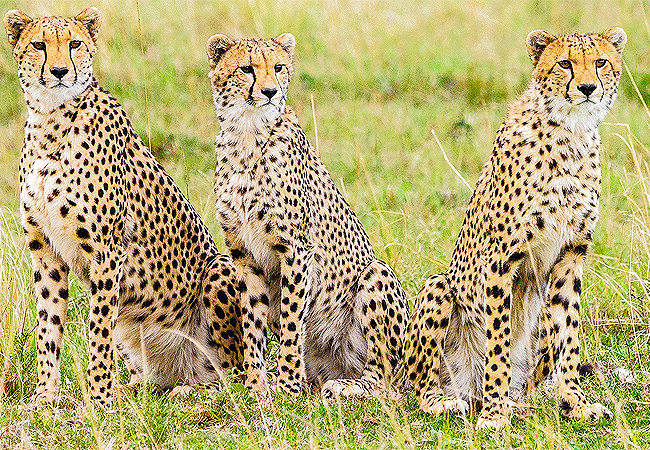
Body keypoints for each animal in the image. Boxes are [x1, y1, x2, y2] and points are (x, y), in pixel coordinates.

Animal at [4, 7, 243, 408]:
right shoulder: (45, 251)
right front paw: (44, 399)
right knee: (155, 379)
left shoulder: (106, 252)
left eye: (75, 44)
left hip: (221, 270)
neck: (50, 120)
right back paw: (136, 389)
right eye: (39, 45)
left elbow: (98, 330)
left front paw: (99, 400)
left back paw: (194, 392)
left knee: (233, 375)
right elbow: (48, 328)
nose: (59, 71)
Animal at [205, 33, 408, 398]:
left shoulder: (296, 249)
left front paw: (286, 385)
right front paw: (257, 387)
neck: (247, 133)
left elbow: (290, 319)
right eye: (246, 68)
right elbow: (252, 322)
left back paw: (347, 387)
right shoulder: (243, 254)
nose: (270, 92)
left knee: (383, 380)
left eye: (278, 67)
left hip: (376, 274)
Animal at [404, 28, 624, 428]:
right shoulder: (501, 258)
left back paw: (523, 401)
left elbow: (569, 336)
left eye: (601, 62)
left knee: (535, 370)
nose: (587, 88)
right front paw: (494, 414)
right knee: (424, 385)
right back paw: (452, 401)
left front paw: (575, 403)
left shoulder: (571, 256)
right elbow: (499, 341)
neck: (571, 131)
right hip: (438, 289)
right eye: (565, 63)